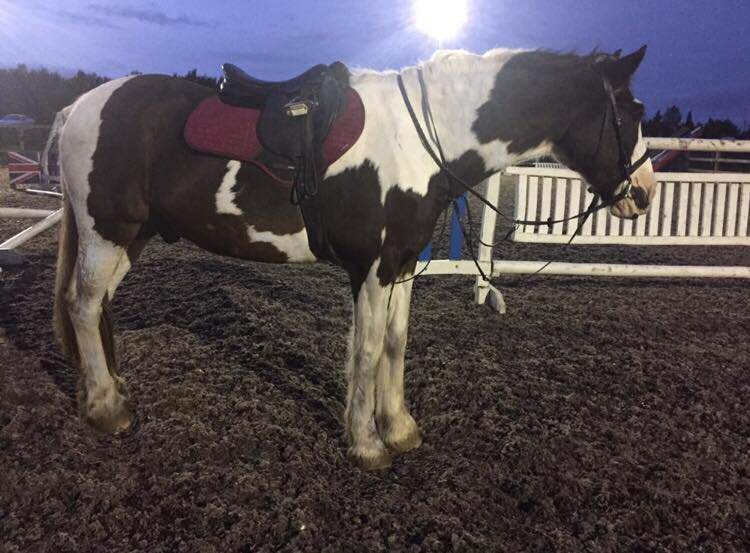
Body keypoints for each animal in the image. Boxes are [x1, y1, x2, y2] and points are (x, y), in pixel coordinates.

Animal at [49, 47, 657, 470]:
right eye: (630, 113)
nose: (645, 193)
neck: (421, 138)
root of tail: (79, 107)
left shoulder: (403, 263)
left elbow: (395, 343)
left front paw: (400, 427)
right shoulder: (371, 268)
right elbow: (365, 350)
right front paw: (366, 443)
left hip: (129, 238)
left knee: (97, 308)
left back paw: (110, 390)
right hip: (109, 233)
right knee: (83, 305)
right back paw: (105, 408)